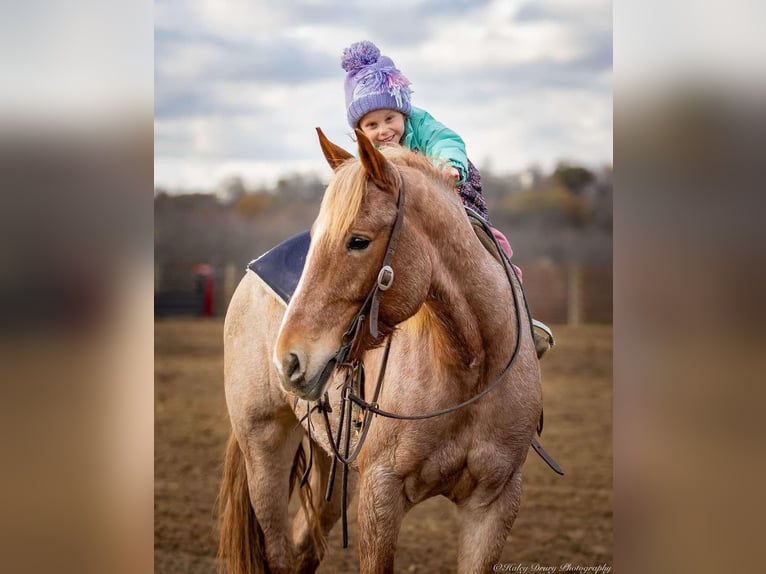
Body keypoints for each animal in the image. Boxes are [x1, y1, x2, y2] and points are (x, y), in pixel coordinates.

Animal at [219, 130, 544, 574]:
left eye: (358, 241)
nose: (289, 359)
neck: (471, 366)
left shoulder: (495, 502)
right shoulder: (381, 495)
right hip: (264, 445)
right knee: (280, 553)